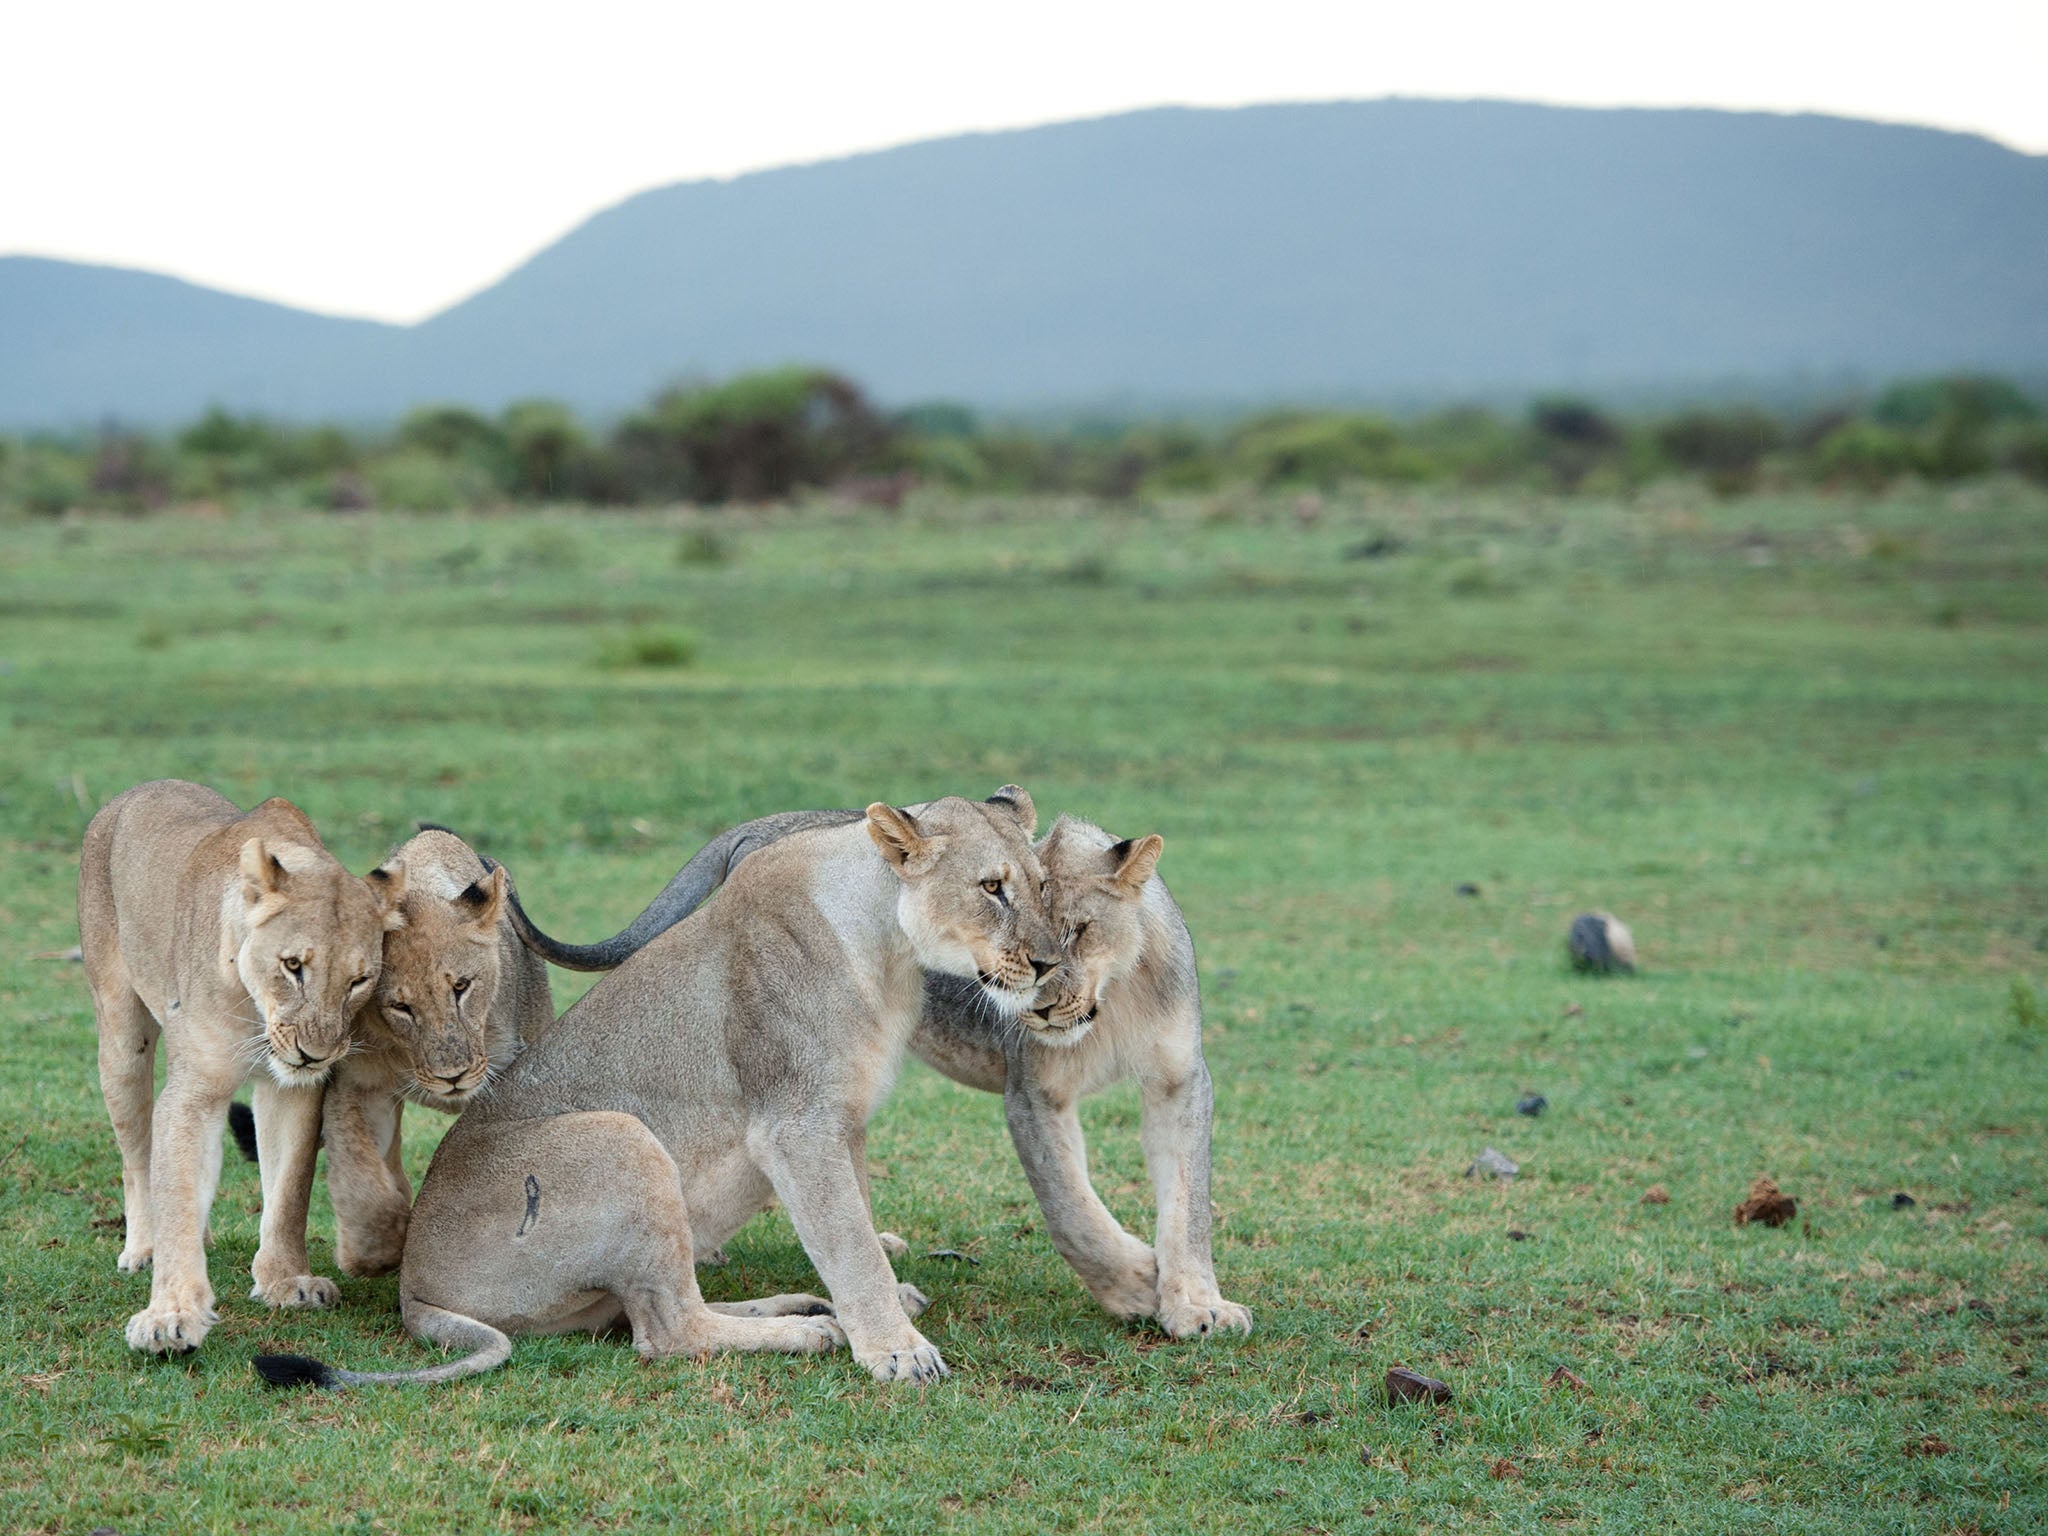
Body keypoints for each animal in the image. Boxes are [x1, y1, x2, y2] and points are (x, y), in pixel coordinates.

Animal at [79, 782, 401, 1359]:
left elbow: (288, 1189)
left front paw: (287, 1281)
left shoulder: (292, 1091)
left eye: (359, 981)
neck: (255, 1007)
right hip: (120, 1038)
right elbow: (175, 1192)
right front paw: (170, 1314)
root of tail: (135, 790)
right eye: (293, 966)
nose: (315, 1054)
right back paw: (143, 1247)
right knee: (137, 1157)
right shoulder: (193, 1092)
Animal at [253, 794, 1056, 1392]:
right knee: (668, 1330)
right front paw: (896, 1350)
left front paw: (891, 1306)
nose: (1050, 961)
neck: (887, 945)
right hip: (622, 1137)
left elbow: (852, 1219)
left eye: (1043, 884)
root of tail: (412, 1288)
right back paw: (810, 1329)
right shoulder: (796, 1124)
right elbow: (848, 1239)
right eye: (992, 887)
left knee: (654, 1307)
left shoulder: (842, 1118)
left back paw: (799, 1305)